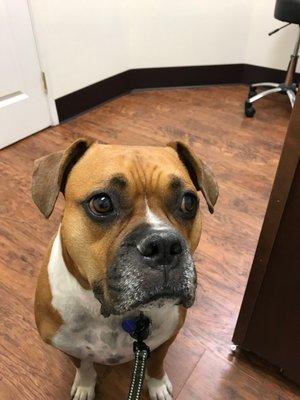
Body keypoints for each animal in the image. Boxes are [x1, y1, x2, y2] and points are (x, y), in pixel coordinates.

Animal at [32, 138, 218, 400]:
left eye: (189, 202)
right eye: (102, 203)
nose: (163, 244)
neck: (111, 316)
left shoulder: (166, 338)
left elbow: (156, 363)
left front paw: (157, 385)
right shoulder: (66, 345)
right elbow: (83, 364)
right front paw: (85, 384)